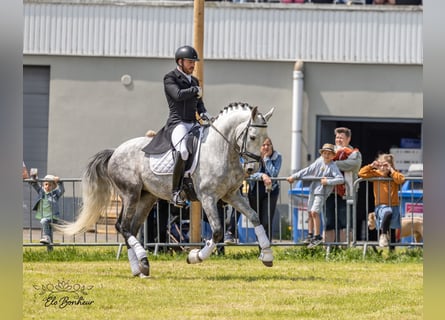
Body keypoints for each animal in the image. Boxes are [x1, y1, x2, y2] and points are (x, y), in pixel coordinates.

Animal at [58, 103, 274, 278]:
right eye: (252, 136)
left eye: (266, 139)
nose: (252, 169)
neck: (220, 149)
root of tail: (115, 152)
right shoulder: (207, 197)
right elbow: (218, 231)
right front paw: (194, 256)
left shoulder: (231, 195)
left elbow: (255, 217)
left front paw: (267, 255)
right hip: (130, 194)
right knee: (122, 226)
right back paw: (143, 261)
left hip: (146, 198)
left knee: (131, 228)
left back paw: (139, 269)